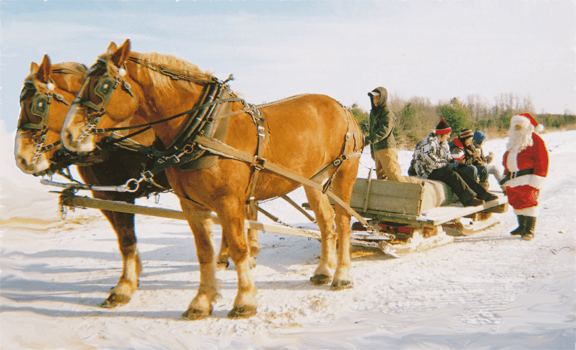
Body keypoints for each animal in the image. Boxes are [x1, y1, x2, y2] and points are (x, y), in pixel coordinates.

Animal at [14, 53, 260, 308]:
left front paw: (125, 286)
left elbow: (127, 239)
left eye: (38, 104)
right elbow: (123, 240)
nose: (21, 158)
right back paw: (226, 255)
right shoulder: (104, 196)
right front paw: (133, 274)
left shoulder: (122, 196)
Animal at [62, 39, 364, 318]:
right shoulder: (192, 206)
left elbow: (240, 249)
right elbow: (204, 252)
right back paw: (323, 271)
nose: (68, 135)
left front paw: (245, 300)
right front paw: (201, 301)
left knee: (343, 222)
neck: (204, 129)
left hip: (344, 175)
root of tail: (342, 107)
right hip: (314, 182)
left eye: (103, 86)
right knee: (326, 223)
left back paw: (342, 275)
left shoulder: (229, 203)